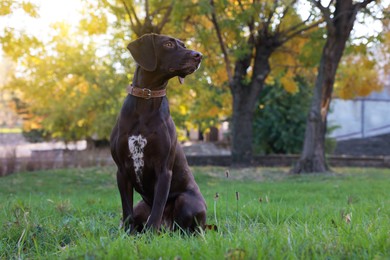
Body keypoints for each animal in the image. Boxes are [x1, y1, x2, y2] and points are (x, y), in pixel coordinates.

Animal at [109, 33, 206, 234]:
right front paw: (127, 235)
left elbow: (157, 208)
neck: (147, 98)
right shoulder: (121, 171)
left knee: (186, 229)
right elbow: (126, 210)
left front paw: (150, 235)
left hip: (187, 202)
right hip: (141, 206)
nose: (199, 55)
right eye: (168, 44)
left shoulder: (163, 170)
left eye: (184, 45)